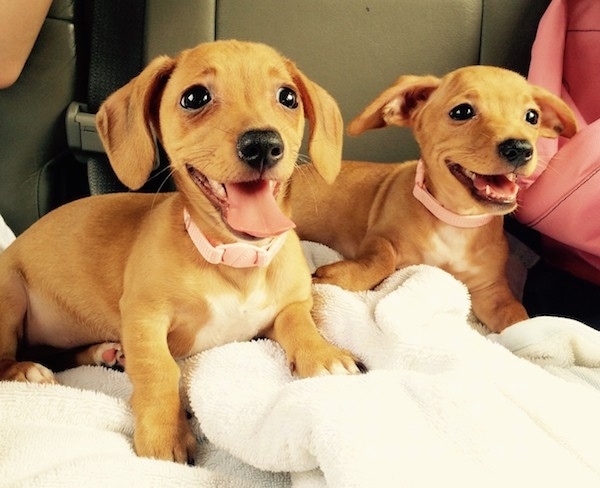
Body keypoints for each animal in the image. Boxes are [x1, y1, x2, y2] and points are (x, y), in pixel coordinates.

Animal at [0, 40, 366, 464]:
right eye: (195, 97)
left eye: (288, 97)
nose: (262, 145)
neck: (235, 258)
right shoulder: (144, 316)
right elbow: (158, 369)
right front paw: (164, 435)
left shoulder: (288, 306)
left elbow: (300, 324)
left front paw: (323, 354)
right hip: (9, 295)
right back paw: (26, 370)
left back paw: (103, 352)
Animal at [290, 66, 576, 332]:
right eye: (462, 112)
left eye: (532, 116)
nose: (520, 148)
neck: (456, 220)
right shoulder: (379, 238)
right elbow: (382, 260)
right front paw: (337, 276)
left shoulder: (492, 291)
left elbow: (516, 317)